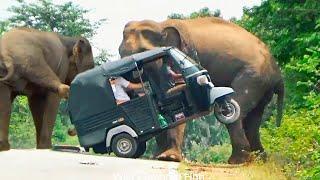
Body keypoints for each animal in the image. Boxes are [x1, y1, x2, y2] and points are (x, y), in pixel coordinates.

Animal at [119, 17, 284, 164]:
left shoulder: (183, 54)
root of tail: (277, 72)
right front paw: (158, 157)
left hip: (253, 76)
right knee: (253, 121)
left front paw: (168, 158)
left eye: (142, 51)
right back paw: (260, 161)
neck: (160, 24)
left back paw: (238, 161)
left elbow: (177, 95)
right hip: (261, 84)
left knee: (234, 111)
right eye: (120, 52)